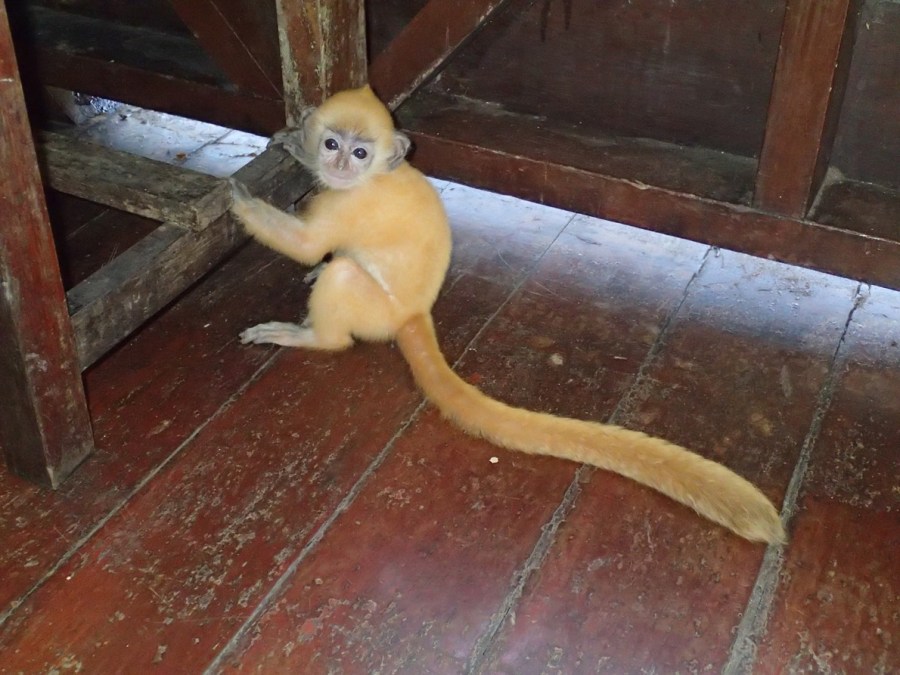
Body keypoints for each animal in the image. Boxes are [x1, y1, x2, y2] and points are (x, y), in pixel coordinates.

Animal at [229, 85, 786, 545]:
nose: (341, 165)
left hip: (371, 307)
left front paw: (235, 200)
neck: (371, 178)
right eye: (332, 144)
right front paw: (290, 144)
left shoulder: (349, 204)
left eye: (360, 152)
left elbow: (306, 243)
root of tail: (413, 314)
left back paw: (313, 335)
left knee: (343, 279)